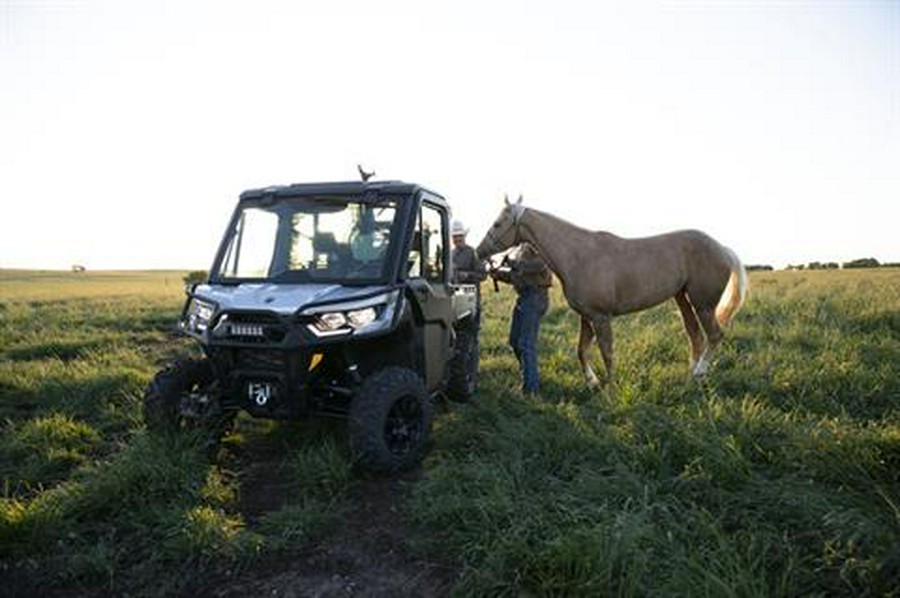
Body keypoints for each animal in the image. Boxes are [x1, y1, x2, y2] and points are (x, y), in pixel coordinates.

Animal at [474, 197, 748, 384]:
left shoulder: (600, 317)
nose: (479, 252)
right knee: (695, 336)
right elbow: (582, 350)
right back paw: (693, 376)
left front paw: (611, 387)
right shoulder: (586, 317)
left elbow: (607, 352)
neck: (578, 255)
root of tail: (722, 249)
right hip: (683, 299)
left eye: (497, 224)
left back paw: (700, 372)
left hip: (703, 305)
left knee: (714, 336)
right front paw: (592, 383)